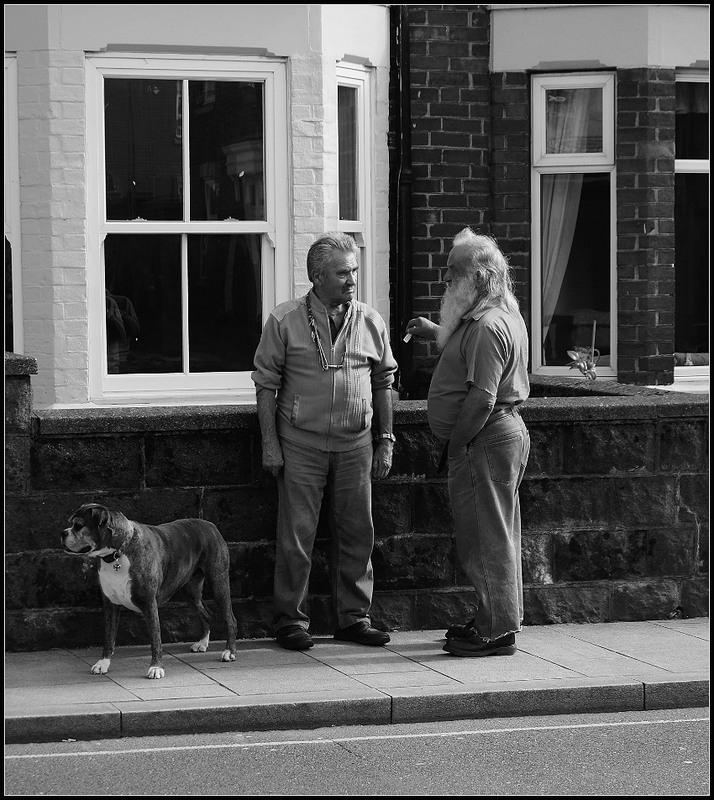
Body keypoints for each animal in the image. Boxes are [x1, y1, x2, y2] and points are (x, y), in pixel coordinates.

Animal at [61, 504, 236, 680]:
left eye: (78, 525)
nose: (63, 532)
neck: (118, 553)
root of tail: (210, 525)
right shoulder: (111, 605)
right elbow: (109, 637)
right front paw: (103, 663)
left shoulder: (149, 603)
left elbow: (155, 638)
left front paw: (156, 667)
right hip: (190, 591)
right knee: (206, 614)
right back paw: (202, 643)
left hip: (218, 582)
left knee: (230, 619)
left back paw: (229, 652)